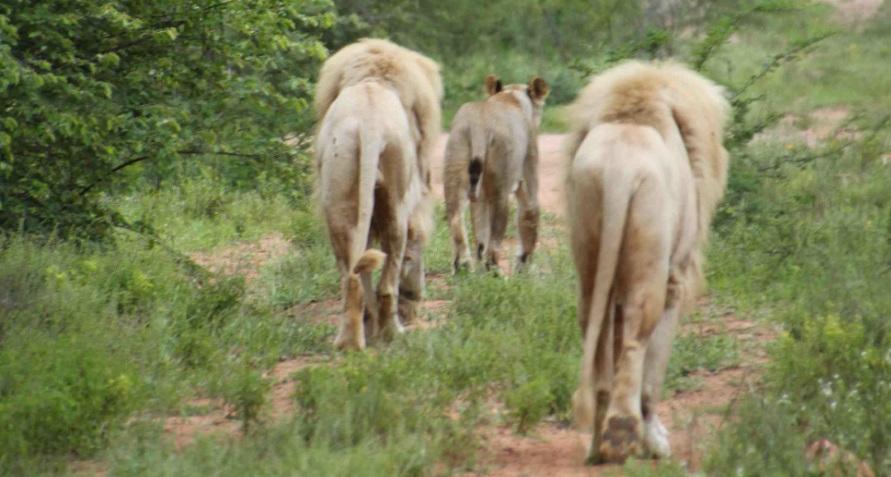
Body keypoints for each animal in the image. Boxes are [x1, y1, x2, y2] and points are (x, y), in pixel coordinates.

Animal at [314, 38, 442, 350]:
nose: (416, 300)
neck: (373, 80)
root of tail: (368, 122)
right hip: (394, 202)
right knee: (387, 281)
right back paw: (391, 332)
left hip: (337, 197)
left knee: (351, 276)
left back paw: (350, 341)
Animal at [568, 61, 728, 462]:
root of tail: (619, 169)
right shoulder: (676, 277)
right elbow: (654, 369)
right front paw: (655, 441)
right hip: (651, 259)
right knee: (635, 342)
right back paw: (624, 434)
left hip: (589, 236)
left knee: (597, 336)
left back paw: (597, 445)